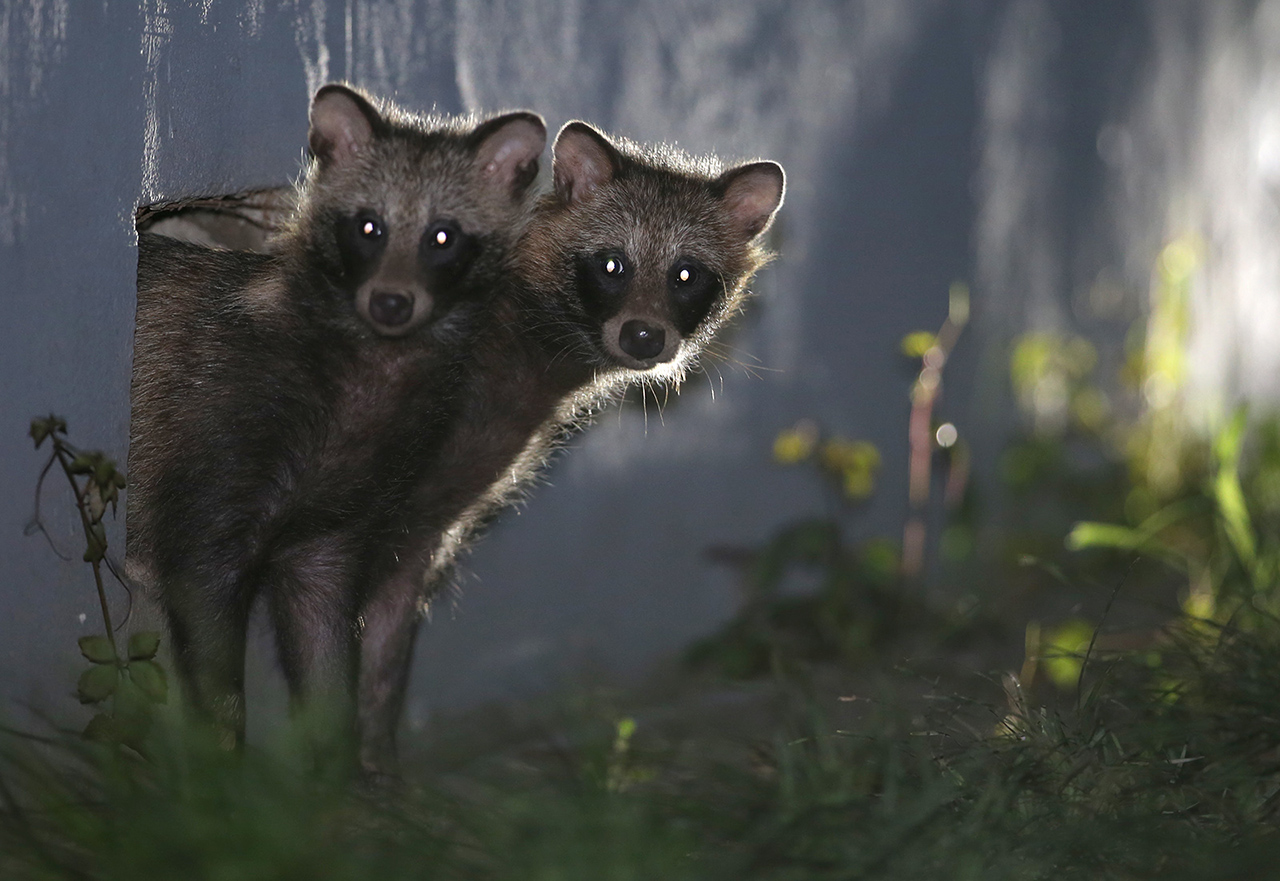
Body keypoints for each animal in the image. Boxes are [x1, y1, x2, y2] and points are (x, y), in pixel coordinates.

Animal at [127, 84, 547, 758]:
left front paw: (334, 770)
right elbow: (208, 632)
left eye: (444, 237)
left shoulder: (337, 524)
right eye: (367, 226)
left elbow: (329, 661)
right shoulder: (214, 446)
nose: (391, 302)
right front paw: (222, 766)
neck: (367, 379)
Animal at [353, 122, 788, 768]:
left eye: (686, 275)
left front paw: (371, 759)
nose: (643, 336)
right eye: (612, 265)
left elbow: (386, 634)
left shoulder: (423, 522)